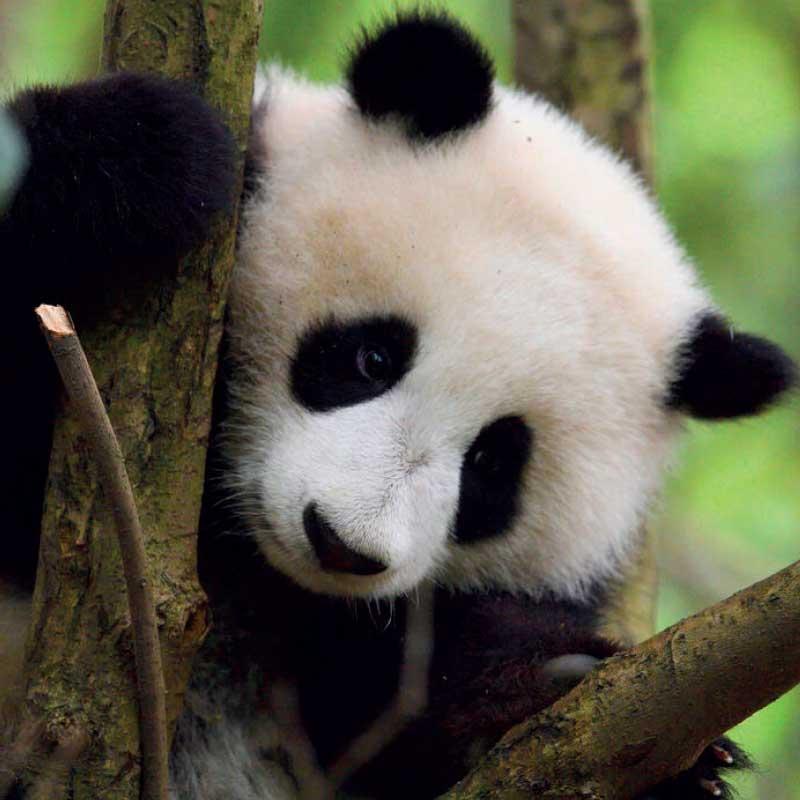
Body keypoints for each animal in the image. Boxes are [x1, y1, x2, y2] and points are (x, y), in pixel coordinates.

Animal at [1, 10, 796, 800]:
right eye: (372, 358)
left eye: (492, 463)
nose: (339, 545)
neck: (249, 561)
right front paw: (144, 153)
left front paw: (545, 698)